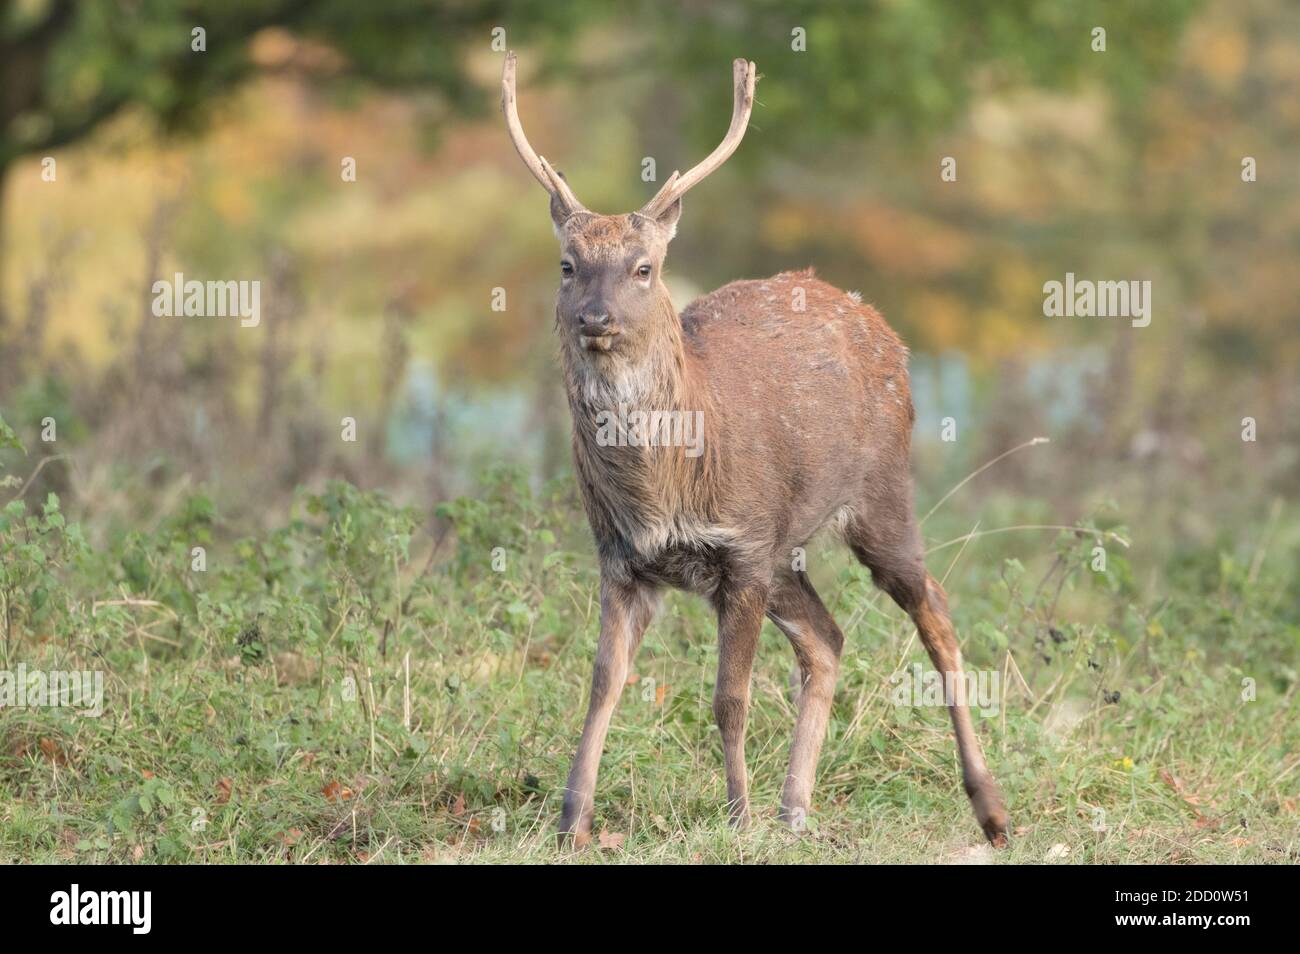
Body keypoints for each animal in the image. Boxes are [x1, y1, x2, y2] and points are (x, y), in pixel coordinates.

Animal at [501, 52, 1010, 847]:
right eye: (567, 264)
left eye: (644, 268)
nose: (595, 318)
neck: (667, 487)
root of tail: (877, 322)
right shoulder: (622, 559)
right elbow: (601, 685)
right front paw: (571, 823)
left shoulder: (739, 550)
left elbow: (728, 698)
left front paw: (736, 816)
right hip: (785, 549)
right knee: (828, 638)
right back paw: (795, 807)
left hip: (880, 496)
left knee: (936, 609)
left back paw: (990, 809)